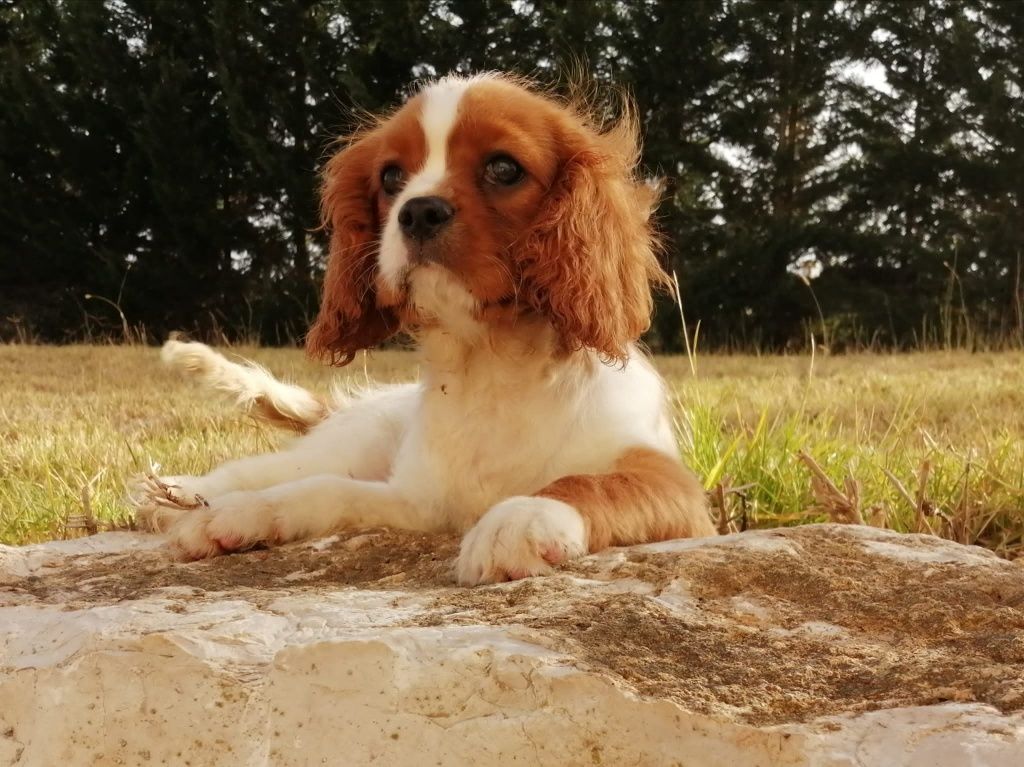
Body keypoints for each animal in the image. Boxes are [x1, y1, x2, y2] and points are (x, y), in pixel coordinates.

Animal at [132, 74, 716, 581]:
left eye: (503, 169)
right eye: (391, 176)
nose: (417, 212)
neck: (491, 362)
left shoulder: (676, 490)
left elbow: (590, 483)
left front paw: (520, 517)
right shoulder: (418, 502)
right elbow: (321, 491)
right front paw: (242, 513)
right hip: (353, 443)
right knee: (279, 469)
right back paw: (185, 496)